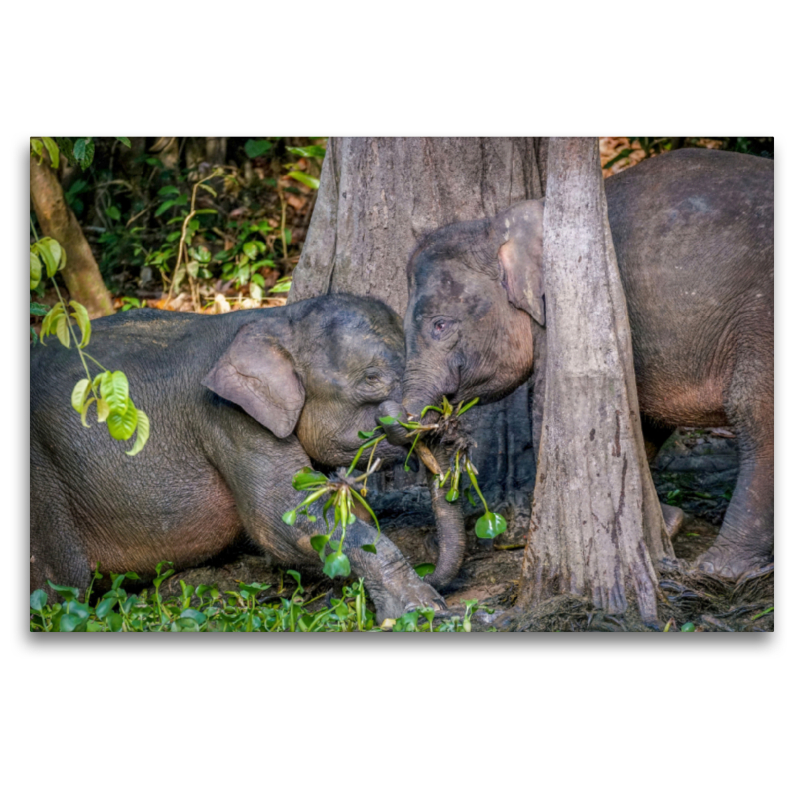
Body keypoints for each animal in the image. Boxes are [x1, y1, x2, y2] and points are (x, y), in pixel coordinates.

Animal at [29, 292, 450, 620]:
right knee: (62, 586)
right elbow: (281, 519)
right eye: (372, 379)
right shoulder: (228, 418)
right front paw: (424, 610)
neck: (276, 318)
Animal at [396, 148, 772, 576]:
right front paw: (667, 524)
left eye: (440, 325)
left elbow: (551, 412)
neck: (497, 224)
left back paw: (720, 568)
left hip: (761, 318)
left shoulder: (568, 312)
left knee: (755, 413)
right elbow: (639, 420)